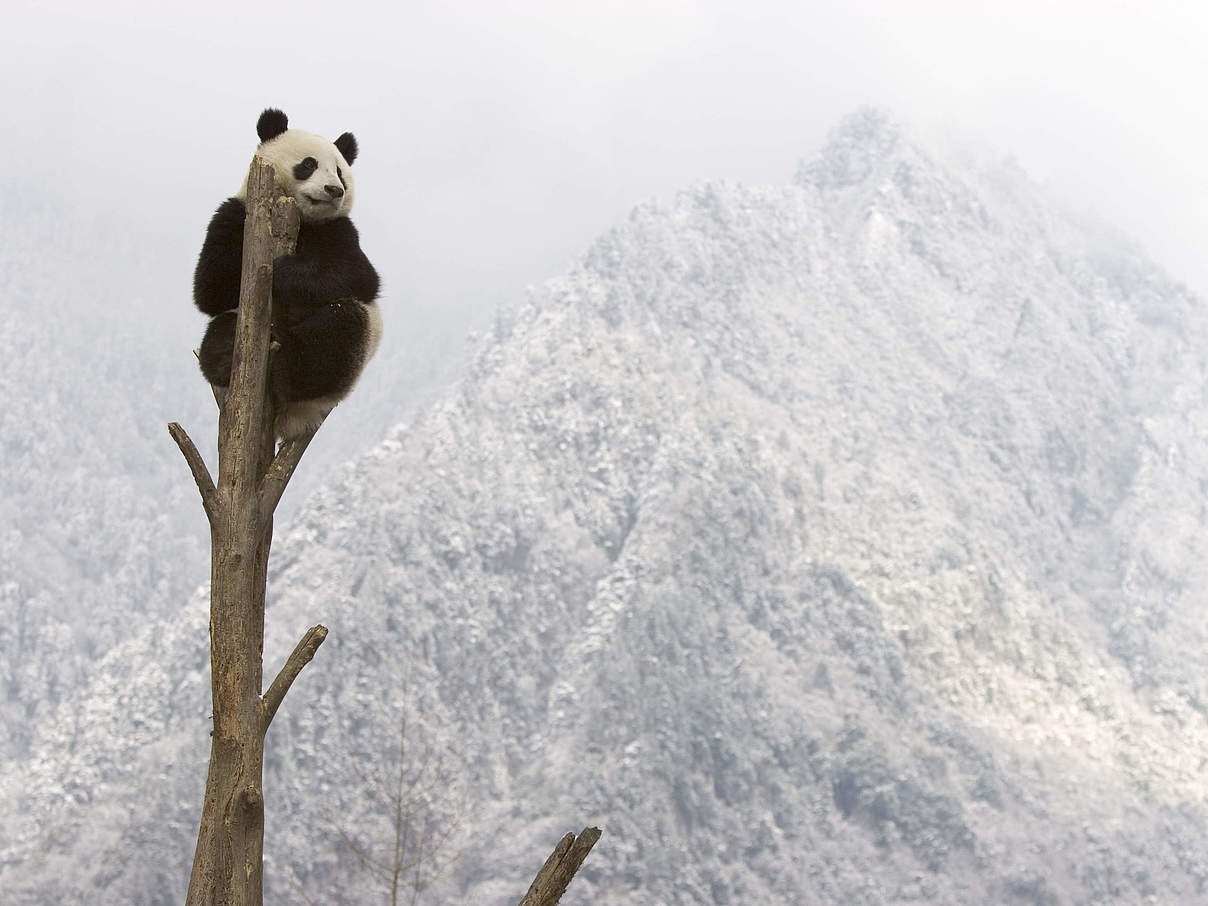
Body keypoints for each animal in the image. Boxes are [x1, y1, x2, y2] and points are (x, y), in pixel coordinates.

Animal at [194, 108, 381, 442]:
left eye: (340, 172)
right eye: (309, 164)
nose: (335, 190)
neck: (302, 218)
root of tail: (292, 419)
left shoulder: (339, 230)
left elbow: (358, 276)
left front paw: (282, 271)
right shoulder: (234, 212)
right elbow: (210, 288)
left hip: (354, 351)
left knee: (336, 334)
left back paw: (289, 367)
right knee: (219, 330)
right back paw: (226, 352)